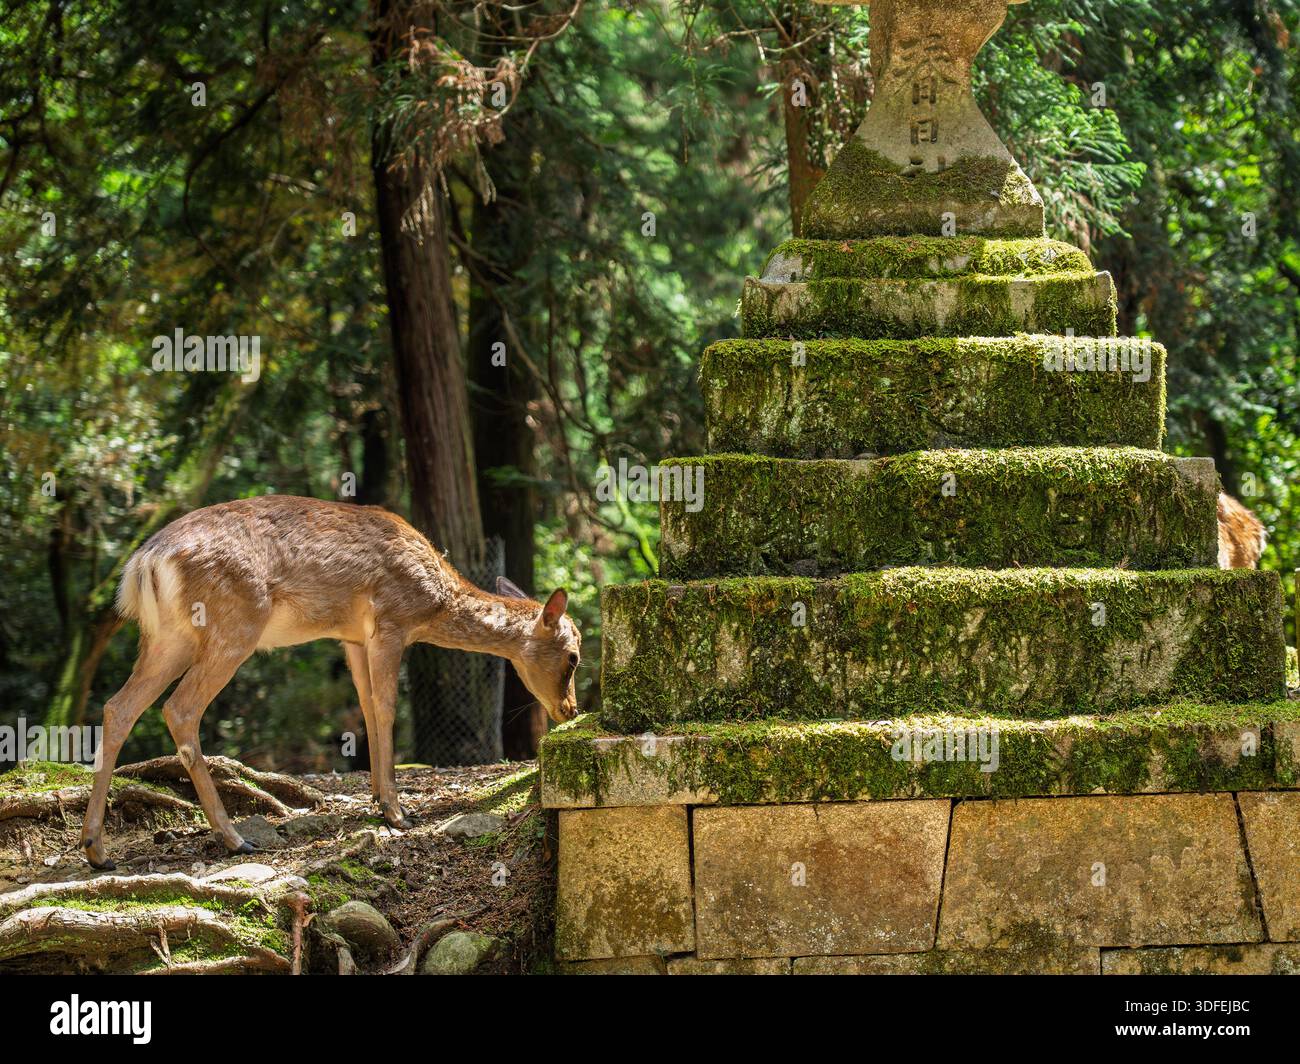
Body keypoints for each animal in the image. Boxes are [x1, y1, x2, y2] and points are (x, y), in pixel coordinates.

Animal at [80, 495, 581, 870]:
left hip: (168, 637)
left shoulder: (352, 637)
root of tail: (143, 564)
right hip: (233, 625)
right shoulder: (390, 621)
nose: (570, 709)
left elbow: (366, 705)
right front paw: (397, 812)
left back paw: (97, 849)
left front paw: (379, 797)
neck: (434, 601)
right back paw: (234, 838)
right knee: (179, 708)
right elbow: (386, 706)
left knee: (118, 706)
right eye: (574, 656)